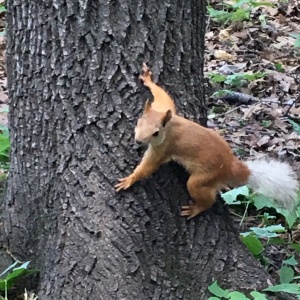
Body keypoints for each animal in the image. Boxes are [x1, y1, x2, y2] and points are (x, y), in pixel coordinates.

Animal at [114, 63, 298, 218]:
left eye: (156, 133)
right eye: (138, 122)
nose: (138, 141)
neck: (169, 127)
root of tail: (231, 166)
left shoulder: (163, 148)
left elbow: (148, 167)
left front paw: (130, 179)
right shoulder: (164, 110)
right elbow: (164, 97)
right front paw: (148, 80)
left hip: (205, 177)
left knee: (205, 195)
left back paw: (196, 209)